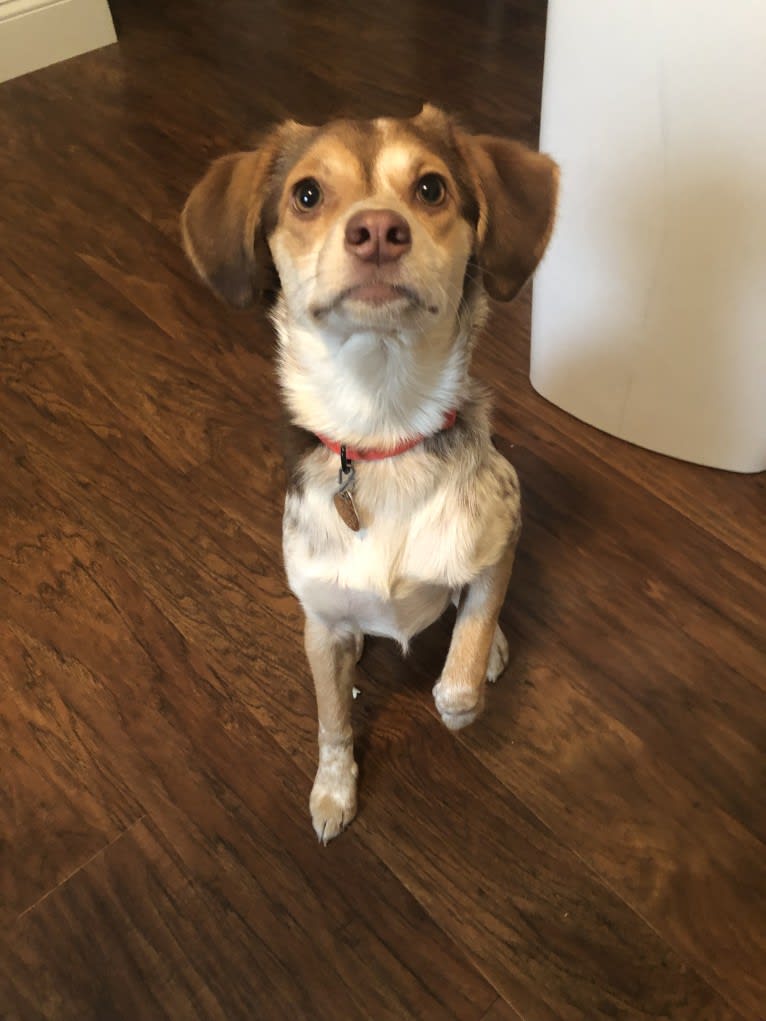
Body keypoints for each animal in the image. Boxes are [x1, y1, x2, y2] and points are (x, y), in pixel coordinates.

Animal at [182, 103, 559, 841]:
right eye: (306, 194)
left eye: (432, 188)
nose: (379, 229)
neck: (384, 423)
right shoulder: (319, 624)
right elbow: (332, 722)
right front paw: (334, 792)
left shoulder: (505, 523)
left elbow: (469, 637)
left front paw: (462, 692)